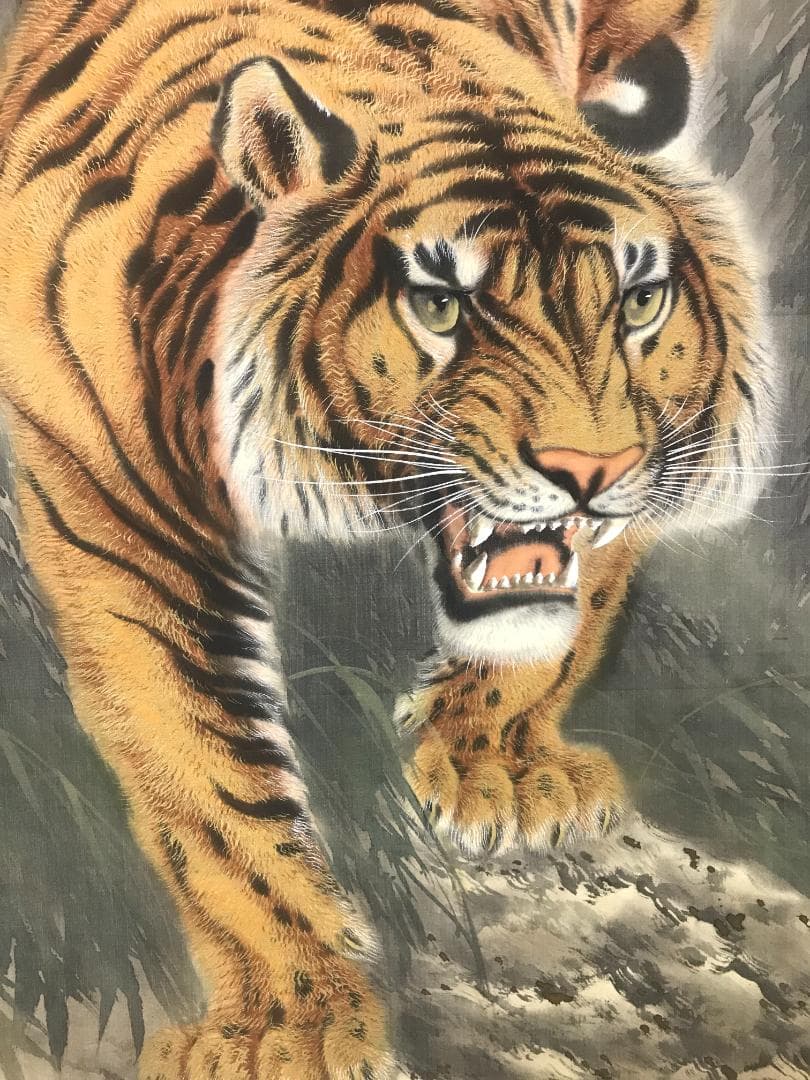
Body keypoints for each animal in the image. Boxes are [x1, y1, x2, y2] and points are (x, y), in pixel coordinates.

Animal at [0, 0, 774, 1075]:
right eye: (440, 304)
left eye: (639, 302)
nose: (590, 472)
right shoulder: (124, 527)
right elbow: (216, 793)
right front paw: (289, 1024)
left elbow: (550, 634)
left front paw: (496, 770)